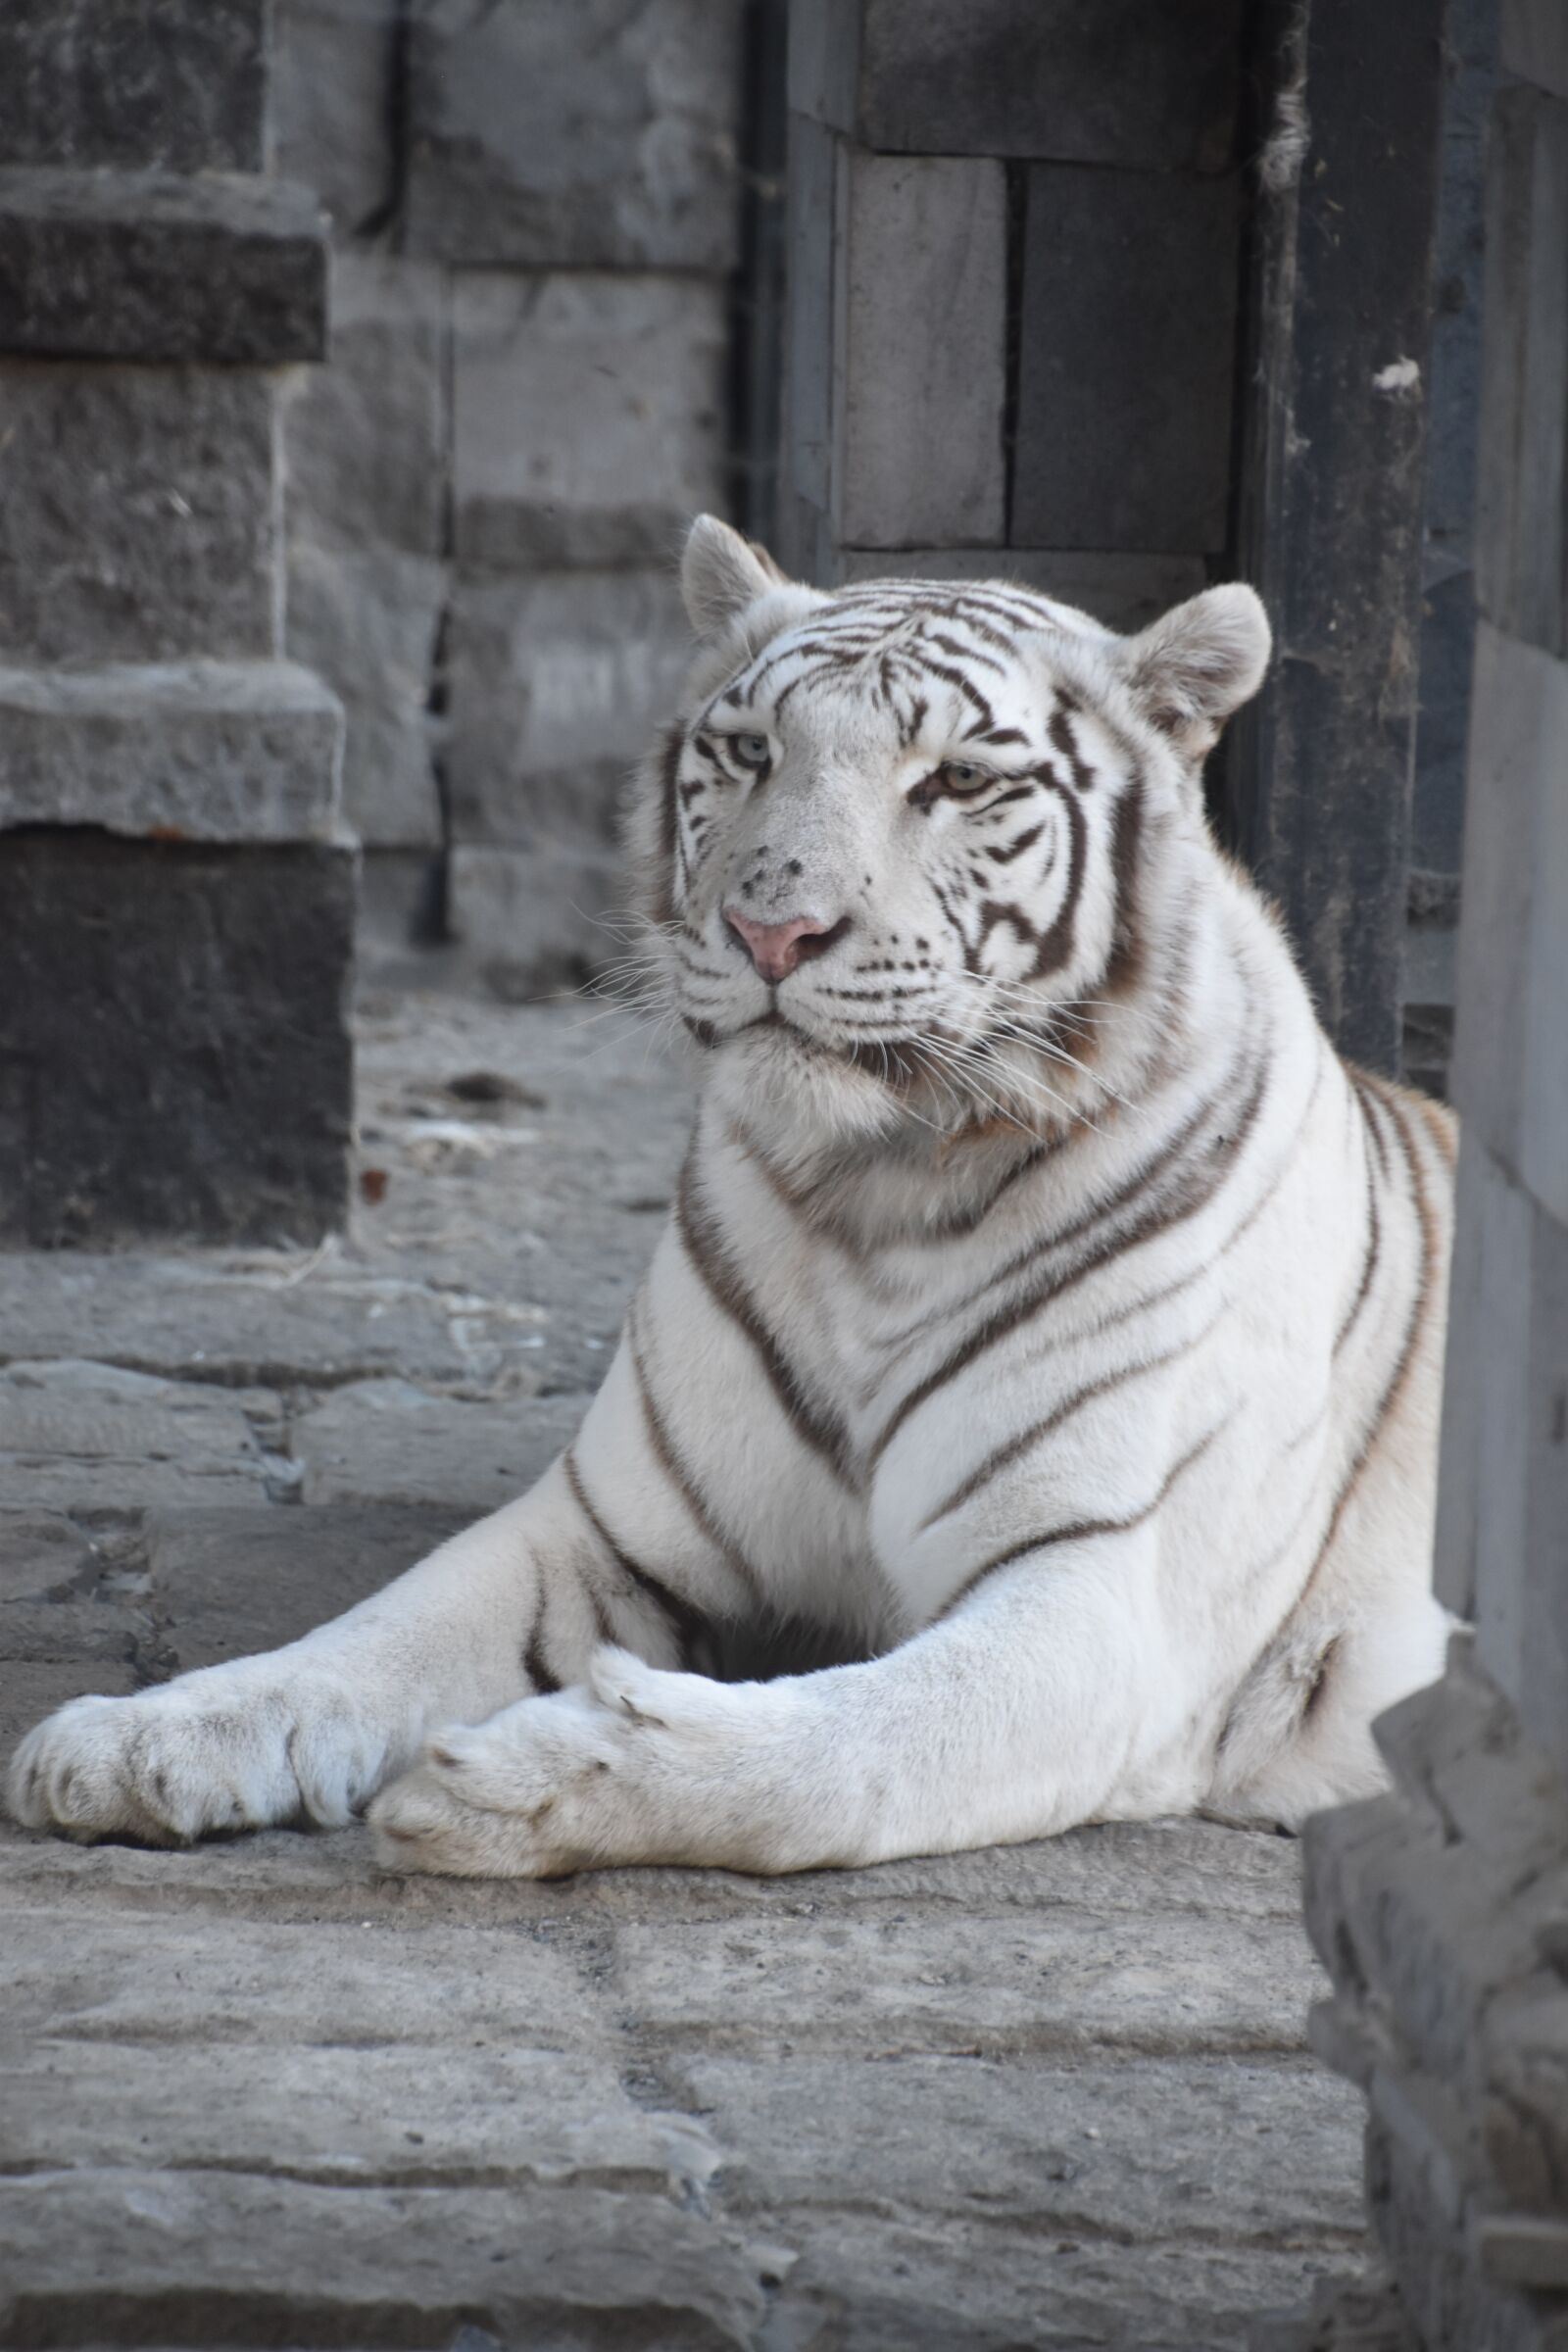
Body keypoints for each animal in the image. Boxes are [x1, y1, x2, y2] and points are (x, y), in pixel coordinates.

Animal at [7, 514, 1456, 1879]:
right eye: (753, 751)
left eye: (958, 780)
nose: (772, 931)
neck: (879, 1195)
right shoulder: (605, 1525)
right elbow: (374, 1630)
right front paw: (138, 1739)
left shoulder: (1098, 1597)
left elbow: (858, 1745)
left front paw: (523, 1782)